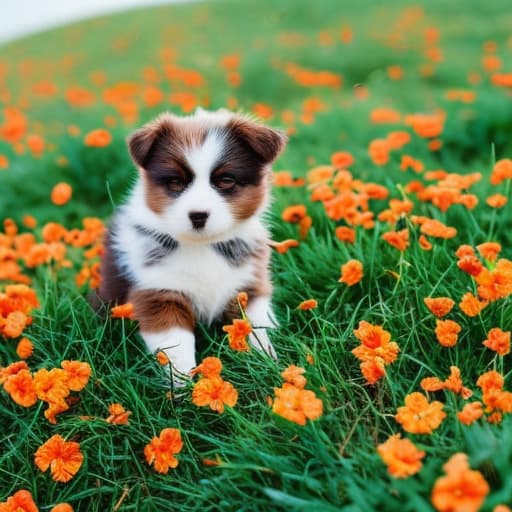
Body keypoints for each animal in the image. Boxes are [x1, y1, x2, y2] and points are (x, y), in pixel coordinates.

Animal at [98, 110, 286, 382]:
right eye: (176, 182)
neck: (201, 246)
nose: (198, 215)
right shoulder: (159, 294)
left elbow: (257, 327)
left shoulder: (248, 285)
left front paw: (268, 364)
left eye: (226, 180)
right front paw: (184, 386)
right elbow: (176, 348)